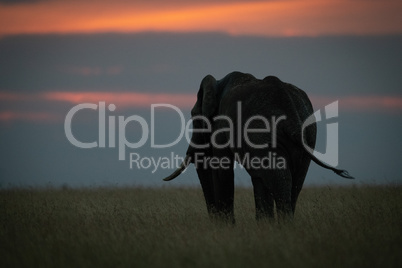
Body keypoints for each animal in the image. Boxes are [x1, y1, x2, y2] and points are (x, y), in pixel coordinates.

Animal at [163, 70, 352, 222]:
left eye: (194, 117)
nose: (214, 221)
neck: (218, 83)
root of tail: (290, 111)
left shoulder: (221, 127)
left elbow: (222, 170)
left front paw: (226, 228)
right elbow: (258, 178)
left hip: (263, 131)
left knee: (281, 179)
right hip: (308, 135)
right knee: (293, 181)